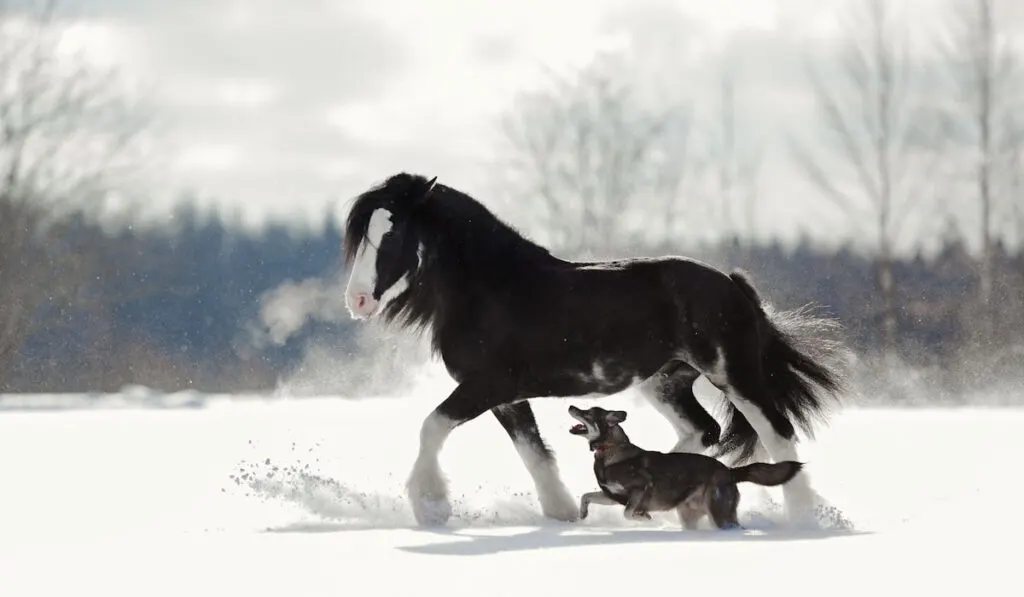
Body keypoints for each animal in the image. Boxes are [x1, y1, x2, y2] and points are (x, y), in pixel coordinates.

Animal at [569, 403, 798, 528]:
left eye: (587, 413)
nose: (571, 406)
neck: (610, 450)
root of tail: (729, 472)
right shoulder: (612, 496)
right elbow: (586, 496)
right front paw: (582, 515)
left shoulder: (641, 487)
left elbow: (628, 513)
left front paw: (645, 518)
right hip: (691, 516)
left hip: (720, 514)